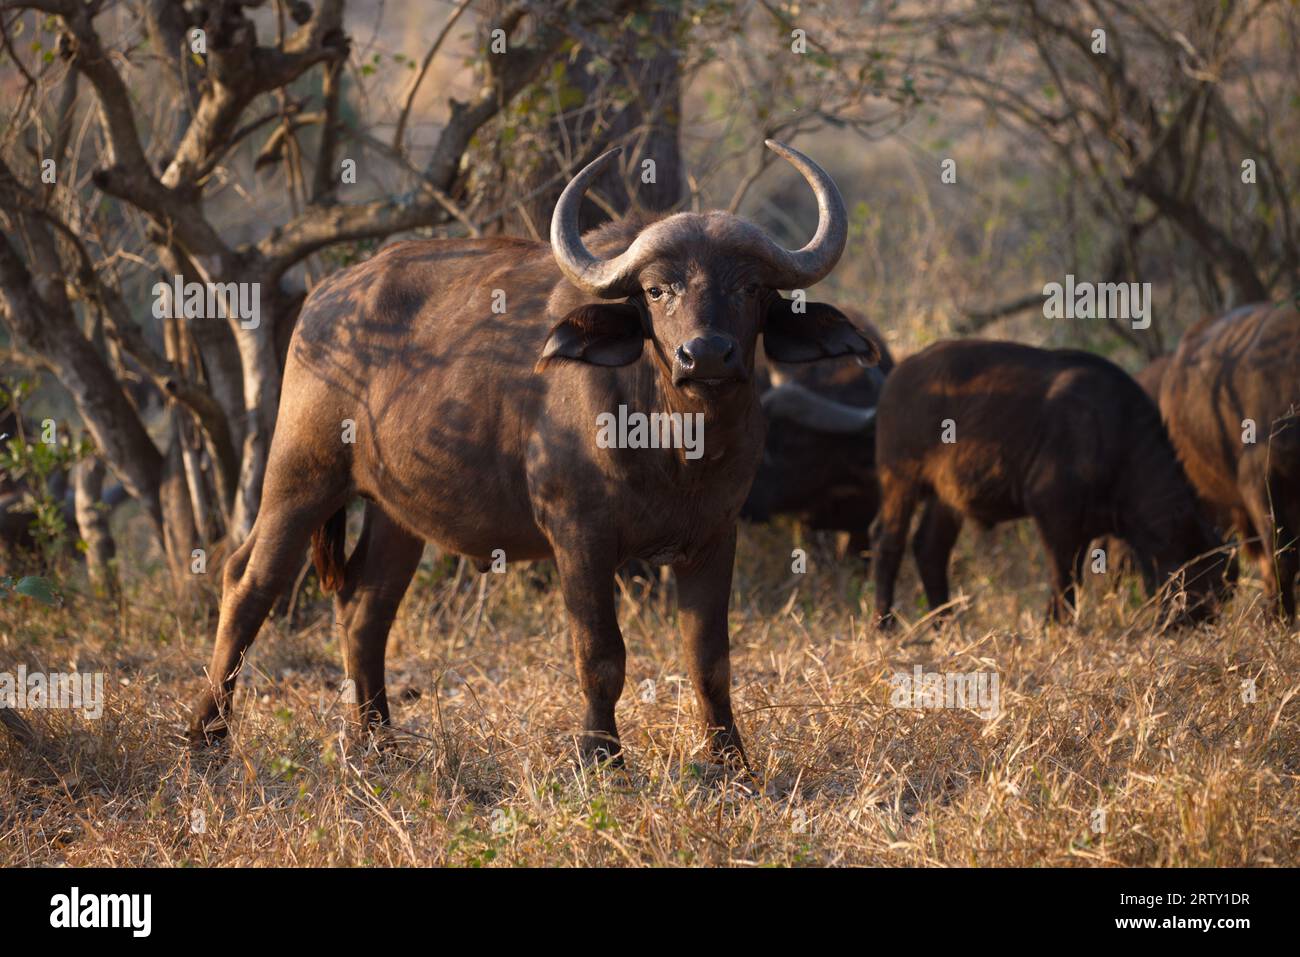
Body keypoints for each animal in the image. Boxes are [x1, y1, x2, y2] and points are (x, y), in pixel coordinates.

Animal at [188, 140, 878, 764]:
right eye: (658, 290)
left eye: (752, 288)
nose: (705, 354)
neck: (675, 445)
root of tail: (324, 298)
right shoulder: (579, 535)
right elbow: (601, 655)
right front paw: (601, 757)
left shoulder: (715, 534)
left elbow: (710, 659)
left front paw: (731, 762)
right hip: (301, 475)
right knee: (248, 582)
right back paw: (208, 736)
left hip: (396, 512)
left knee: (365, 607)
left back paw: (379, 741)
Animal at [868, 338, 1222, 629]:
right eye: (1194, 572)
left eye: (1224, 582)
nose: (1202, 619)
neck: (1118, 438)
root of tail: (898, 375)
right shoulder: (1051, 509)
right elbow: (1062, 574)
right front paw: (1059, 625)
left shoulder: (1084, 526)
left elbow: (1071, 574)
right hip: (899, 480)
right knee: (889, 544)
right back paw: (884, 623)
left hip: (948, 496)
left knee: (930, 548)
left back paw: (946, 624)